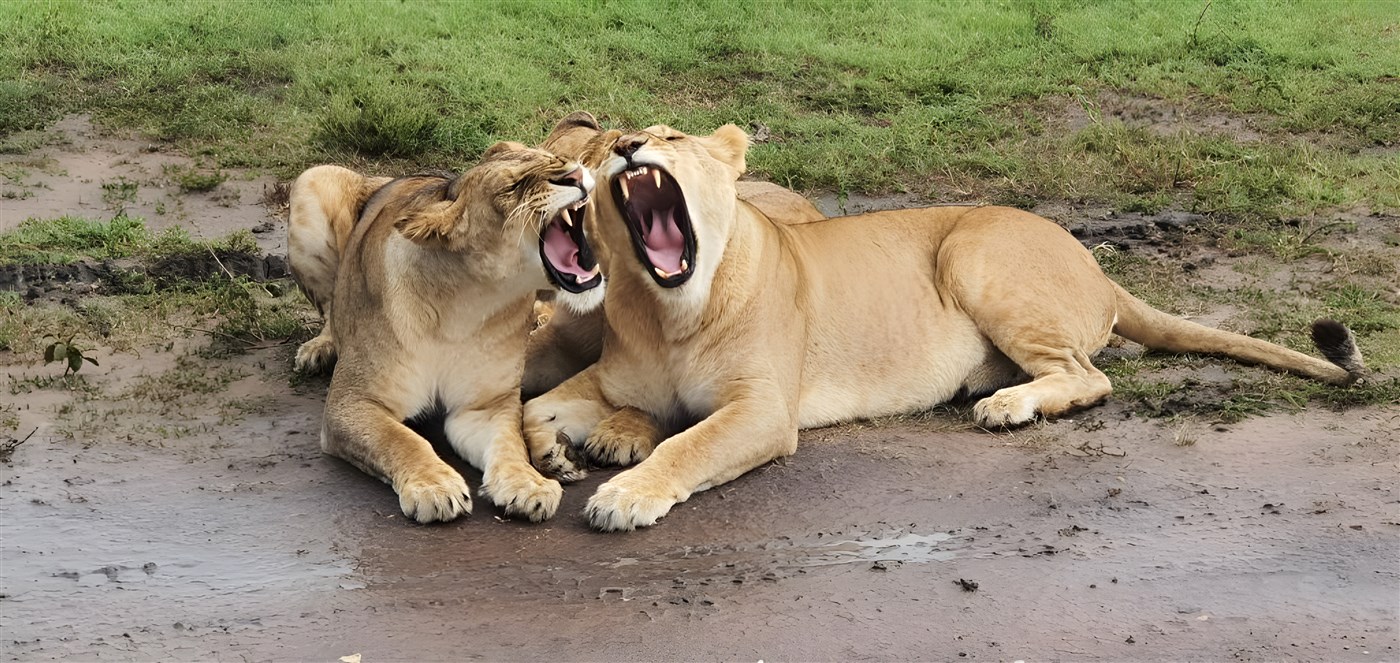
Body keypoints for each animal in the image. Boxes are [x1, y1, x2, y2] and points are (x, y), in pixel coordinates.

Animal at [287, 141, 603, 523]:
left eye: (558, 161)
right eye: (511, 188)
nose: (576, 175)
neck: (466, 306)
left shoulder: (485, 407)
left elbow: (509, 445)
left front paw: (528, 484)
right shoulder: (351, 402)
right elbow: (402, 440)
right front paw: (434, 487)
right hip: (312, 179)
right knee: (332, 304)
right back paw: (318, 349)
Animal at [522, 123, 1367, 531]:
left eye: (672, 136)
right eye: (613, 143)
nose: (629, 146)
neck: (672, 308)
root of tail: (1095, 264)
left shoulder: (762, 410)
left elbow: (686, 445)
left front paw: (624, 494)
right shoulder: (610, 380)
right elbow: (533, 409)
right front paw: (551, 458)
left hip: (973, 253)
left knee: (1091, 375)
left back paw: (1006, 404)